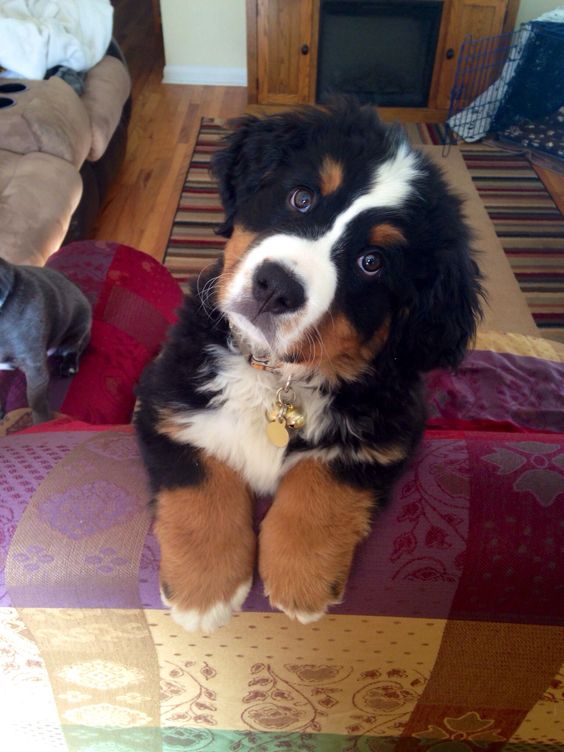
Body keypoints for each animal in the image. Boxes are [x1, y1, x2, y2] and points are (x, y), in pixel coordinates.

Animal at [0, 258, 91, 424]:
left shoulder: (35, 368)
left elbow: (36, 402)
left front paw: (42, 423)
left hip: (76, 331)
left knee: (76, 348)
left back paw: (69, 364)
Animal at [134, 98, 482, 628]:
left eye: (372, 262)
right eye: (301, 198)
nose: (276, 287)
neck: (276, 374)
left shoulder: (386, 436)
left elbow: (323, 481)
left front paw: (300, 578)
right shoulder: (167, 401)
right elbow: (200, 482)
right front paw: (203, 589)